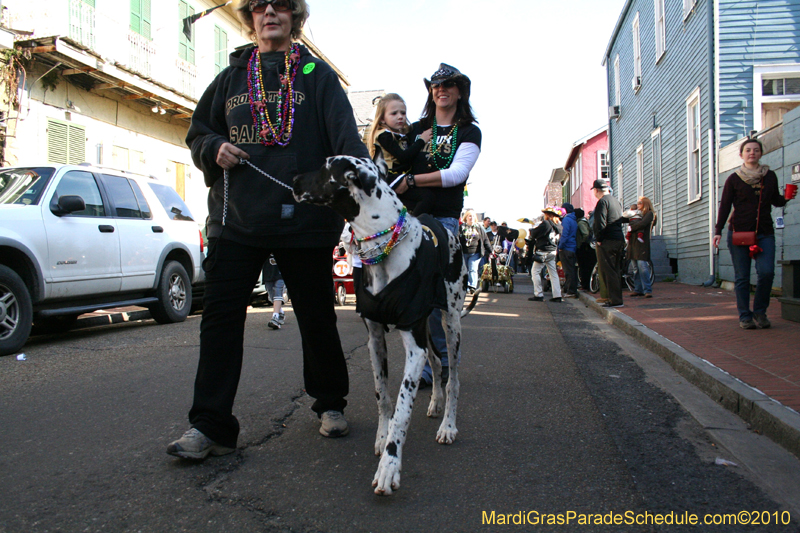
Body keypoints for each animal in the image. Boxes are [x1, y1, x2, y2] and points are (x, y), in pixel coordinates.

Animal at [296, 151, 478, 494]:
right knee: (436, 362)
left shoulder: (413, 347)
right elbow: (383, 395)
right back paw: (435, 404)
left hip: (451, 323)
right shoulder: (375, 339)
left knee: (455, 377)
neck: (383, 252)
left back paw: (448, 424)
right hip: (426, 326)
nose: (295, 179)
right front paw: (382, 437)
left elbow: (403, 408)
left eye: (325, 167)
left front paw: (390, 465)